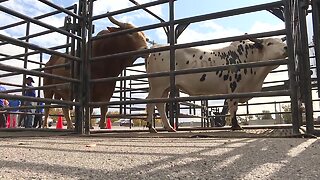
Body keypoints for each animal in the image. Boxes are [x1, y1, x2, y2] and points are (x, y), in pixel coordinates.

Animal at [145, 37, 288, 132]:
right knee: (150, 102)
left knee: (160, 104)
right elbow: (233, 108)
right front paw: (236, 126)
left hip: (165, 87)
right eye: (270, 43)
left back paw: (168, 127)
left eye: (282, 42)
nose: (286, 47)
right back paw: (152, 127)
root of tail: (155, 48)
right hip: (158, 86)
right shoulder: (234, 88)